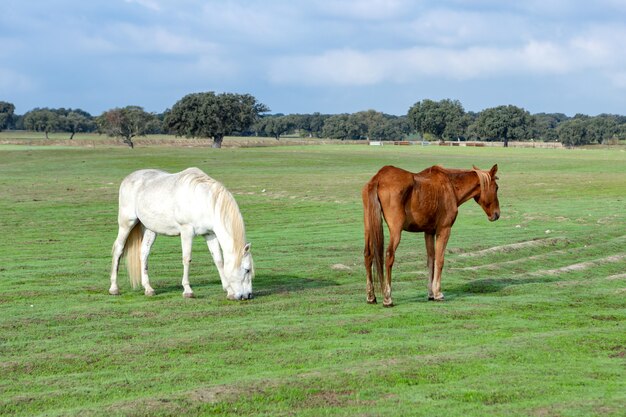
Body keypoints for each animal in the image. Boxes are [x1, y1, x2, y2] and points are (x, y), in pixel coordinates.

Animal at [109, 167, 254, 300]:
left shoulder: (210, 234)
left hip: (150, 229)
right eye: (247, 269)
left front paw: (229, 291)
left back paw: (148, 288)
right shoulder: (186, 231)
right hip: (126, 224)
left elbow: (218, 260)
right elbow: (187, 258)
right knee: (118, 249)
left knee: (144, 253)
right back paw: (114, 288)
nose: (248, 295)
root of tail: (129, 178)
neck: (202, 200)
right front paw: (188, 290)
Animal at [360, 163, 498, 306]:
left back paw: (371, 296)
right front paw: (437, 293)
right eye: (496, 188)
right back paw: (387, 297)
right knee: (389, 255)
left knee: (368, 255)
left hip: (369, 227)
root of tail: (378, 178)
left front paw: (431, 293)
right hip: (396, 230)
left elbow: (431, 260)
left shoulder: (429, 232)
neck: (450, 186)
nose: (496, 214)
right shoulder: (444, 230)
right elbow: (440, 260)